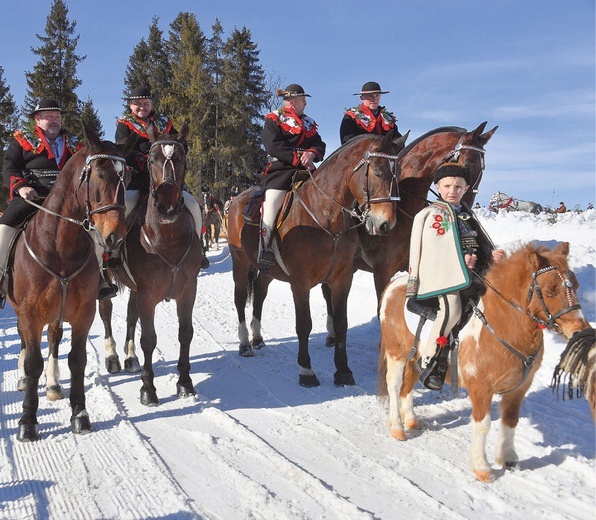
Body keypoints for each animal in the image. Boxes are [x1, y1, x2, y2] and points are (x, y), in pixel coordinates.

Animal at [9, 124, 133, 440]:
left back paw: (53, 385)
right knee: (24, 340)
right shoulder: (29, 314)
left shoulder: (82, 312)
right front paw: (28, 421)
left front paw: (80, 414)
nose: (115, 237)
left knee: (54, 338)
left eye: (126, 177)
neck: (59, 247)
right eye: (100, 173)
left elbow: (77, 359)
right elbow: (33, 362)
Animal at [96, 123, 201, 406]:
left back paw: (131, 358)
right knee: (106, 311)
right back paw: (113, 357)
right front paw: (148, 389)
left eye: (182, 158)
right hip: (105, 280)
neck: (168, 239)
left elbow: (185, 333)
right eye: (151, 159)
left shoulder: (187, 291)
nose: (167, 206)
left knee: (131, 314)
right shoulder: (148, 295)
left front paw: (185, 383)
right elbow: (149, 339)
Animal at [226, 132, 408, 388]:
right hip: (240, 262)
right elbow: (304, 325)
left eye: (398, 173)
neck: (325, 216)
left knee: (260, 292)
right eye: (378, 171)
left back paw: (258, 338)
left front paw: (343, 370)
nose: (386, 224)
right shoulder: (300, 283)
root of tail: (236, 200)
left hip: (267, 270)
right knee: (241, 298)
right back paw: (244, 343)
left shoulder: (342, 279)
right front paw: (306, 371)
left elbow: (341, 323)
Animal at [378, 242, 592, 482]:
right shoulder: (481, 388)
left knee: (409, 384)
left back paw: (411, 419)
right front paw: (482, 467)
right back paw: (397, 427)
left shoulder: (519, 389)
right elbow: (483, 425)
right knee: (395, 385)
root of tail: (395, 284)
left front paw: (508, 458)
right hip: (397, 354)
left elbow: (510, 420)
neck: (503, 325)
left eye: (575, 285)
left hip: (416, 357)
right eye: (550, 290)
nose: (580, 330)